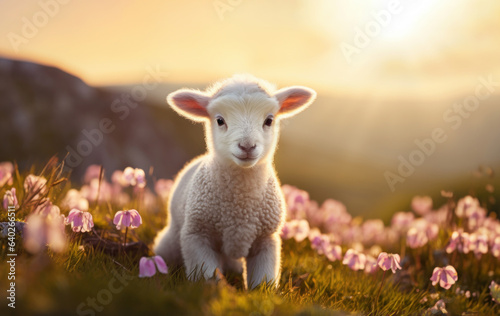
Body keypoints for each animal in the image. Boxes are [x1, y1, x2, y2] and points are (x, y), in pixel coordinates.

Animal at [153, 74, 316, 288]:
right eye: (220, 120)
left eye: (269, 120)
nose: (247, 146)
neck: (240, 208)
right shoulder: (197, 236)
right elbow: (207, 277)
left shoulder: (266, 240)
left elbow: (263, 283)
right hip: (172, 239)